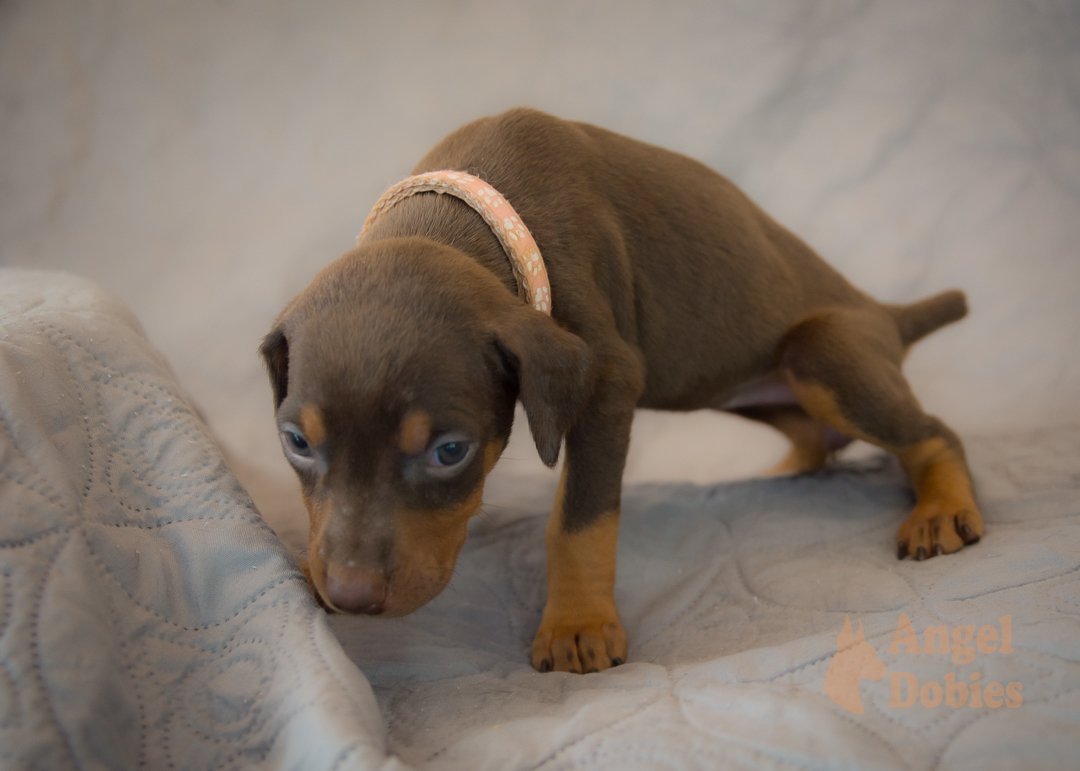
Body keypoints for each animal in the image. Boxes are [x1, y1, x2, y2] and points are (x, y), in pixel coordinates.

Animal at [261, 106, 980, 673]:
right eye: (296, 441)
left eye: (450, 452)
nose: (350, 596)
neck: (469, 212)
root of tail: (883, 311)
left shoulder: (606, 380)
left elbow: (579, 520)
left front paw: (576, 626)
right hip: (757, 390)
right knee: (817, 438)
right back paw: (779, 475)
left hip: (822, 350)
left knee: (932, 432)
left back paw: (941, 509)